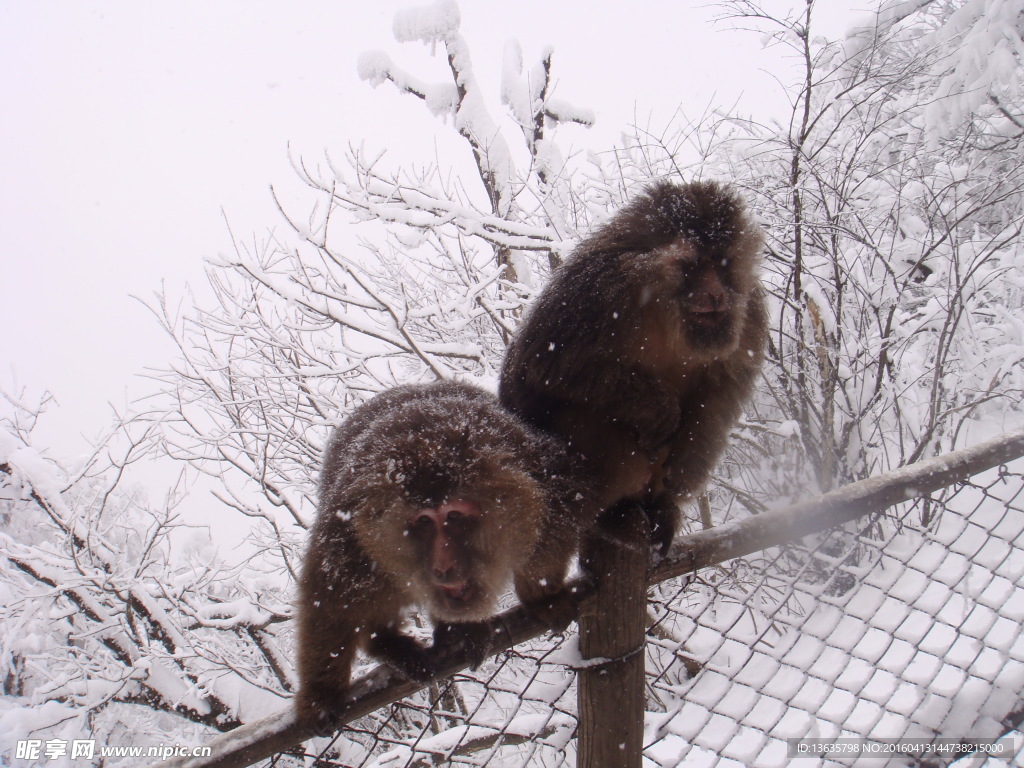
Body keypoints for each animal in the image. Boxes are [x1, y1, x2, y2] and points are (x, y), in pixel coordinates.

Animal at [296, 382, 585, 729]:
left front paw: (542, 596)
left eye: (454, 516)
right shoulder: (350, 524)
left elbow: (557, 521)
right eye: (423, 521)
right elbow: (329, 598)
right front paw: (321, 695)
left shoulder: (535, 468)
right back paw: (388, 643)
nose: (443, 566)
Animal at [499, 180, 765, 552]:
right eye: (695, 263)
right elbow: (540, 366)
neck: (667, 311)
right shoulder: (599, 287)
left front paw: (676, 482)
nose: (715, 294)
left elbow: (717, 402)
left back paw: (659, 507)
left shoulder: (750, 314)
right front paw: (660, 408)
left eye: (721, 262)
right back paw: (606, 510)